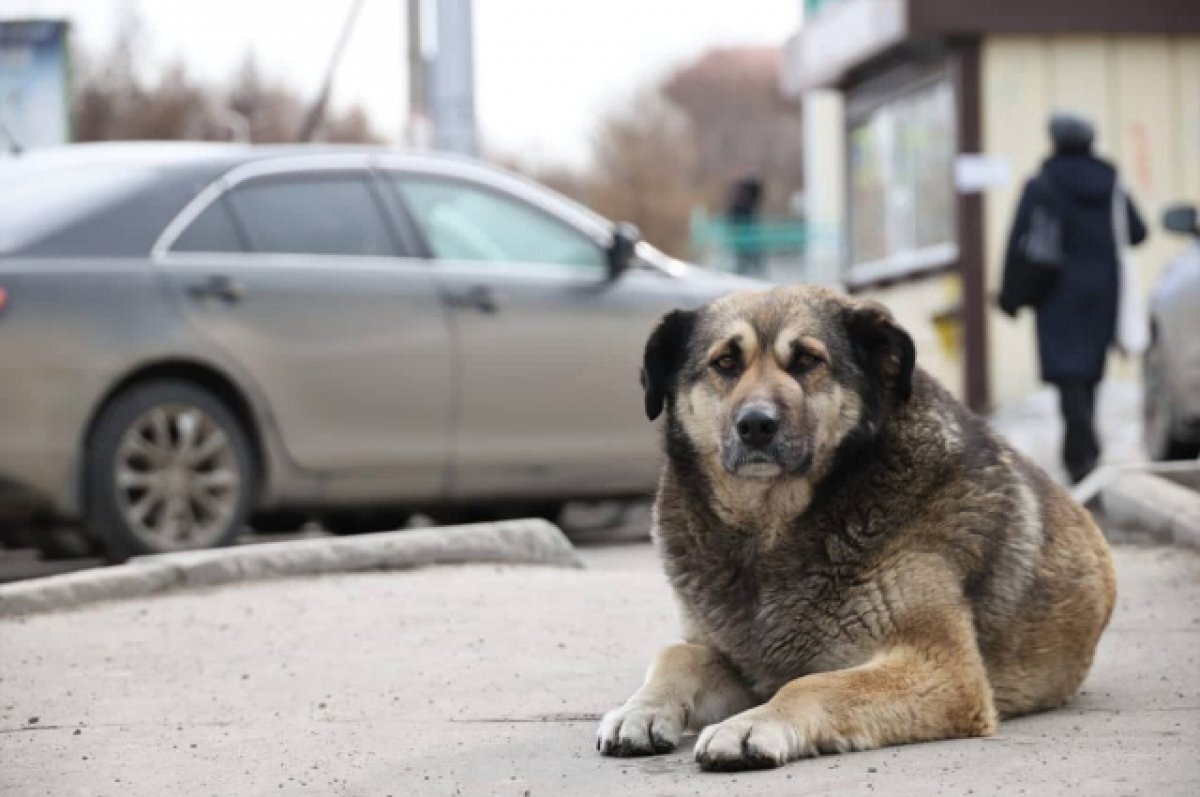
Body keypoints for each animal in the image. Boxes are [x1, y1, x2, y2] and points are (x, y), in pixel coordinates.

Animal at [597, 284, 1113, 772]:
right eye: (725, 362)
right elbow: (677, 654)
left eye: (807, 360)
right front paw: (640, 710)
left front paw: (751, 726)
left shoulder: (944, 670)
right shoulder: (737, 661)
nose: (756, 425)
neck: (771, 528)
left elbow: (811, 685)